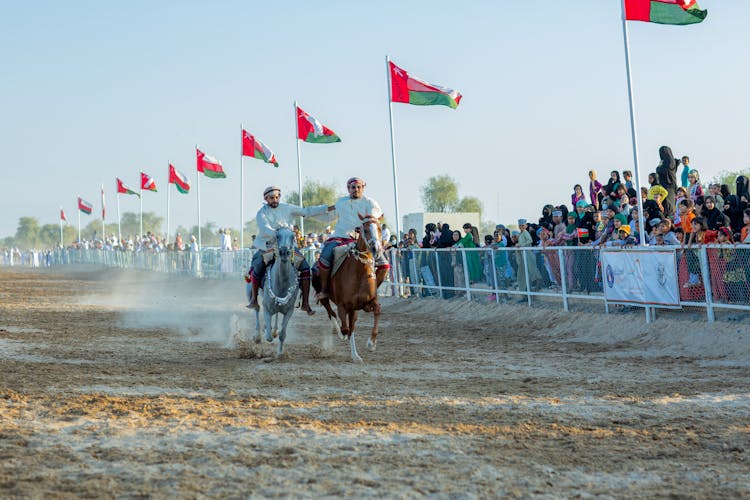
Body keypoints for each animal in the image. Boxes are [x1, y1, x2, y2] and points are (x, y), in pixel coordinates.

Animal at [254, 227, 298, 356]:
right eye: (277, 236)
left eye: (293, 236)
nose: (284, 252)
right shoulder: (267, 308)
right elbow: (268, 337)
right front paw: (267, 332)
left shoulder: (289, 311)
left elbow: (282, 335)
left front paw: (280, 353)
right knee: (256, 308)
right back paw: (257, 336)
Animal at [314, 213, 390, 362]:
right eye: (365, 229)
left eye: (379, 228)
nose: (376, 249)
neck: (359, 272)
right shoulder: (343, 305)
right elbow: (346, 328)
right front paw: (343, 334)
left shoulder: (366, 302)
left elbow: (377, 310)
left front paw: (371, 344)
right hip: (324, 295)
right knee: (331, 313)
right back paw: (338, 332)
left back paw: (355, 354)